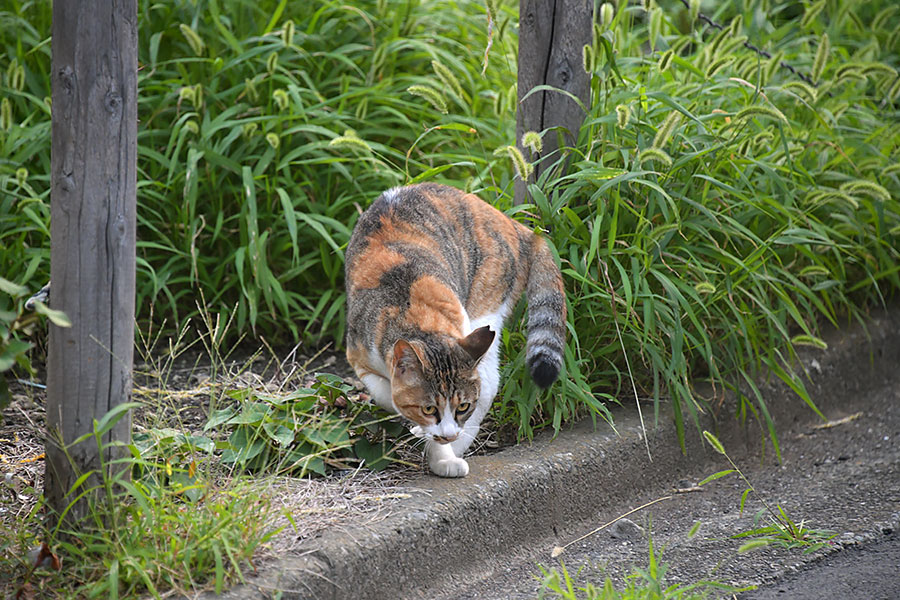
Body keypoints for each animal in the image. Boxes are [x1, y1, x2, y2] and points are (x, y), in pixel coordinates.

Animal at [342, 183, 568, 478]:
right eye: (429, 408)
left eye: (462, 407)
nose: (449, 434)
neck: (415, 319)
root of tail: (517, 225)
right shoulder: (360, 357)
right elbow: (386, 395)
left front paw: (443, 457)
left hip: (485, 308)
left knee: (489, 383)